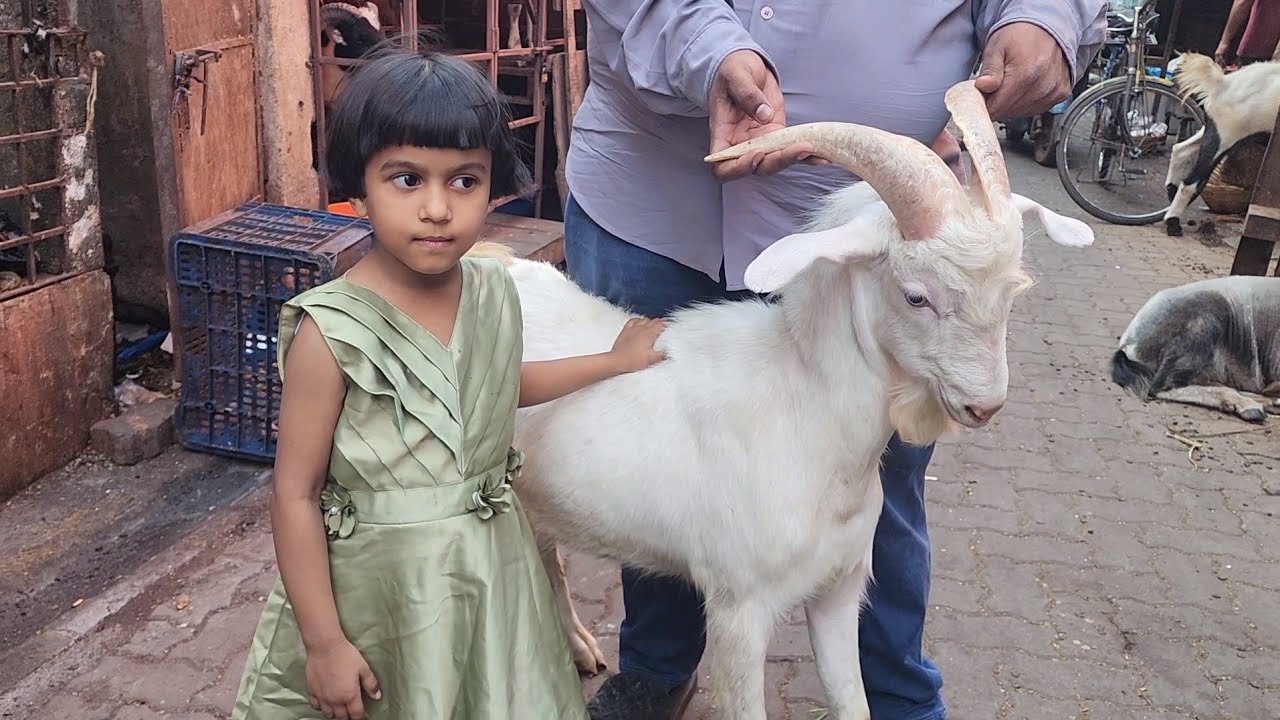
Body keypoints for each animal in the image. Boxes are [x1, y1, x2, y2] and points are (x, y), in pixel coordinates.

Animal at [1163, 53, 1280, 236]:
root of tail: (1223, 84)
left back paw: (1171, 193)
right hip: (1226, 135)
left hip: (1215, 130)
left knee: (1181, 150)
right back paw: (1173, 223)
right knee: (1192, 181)